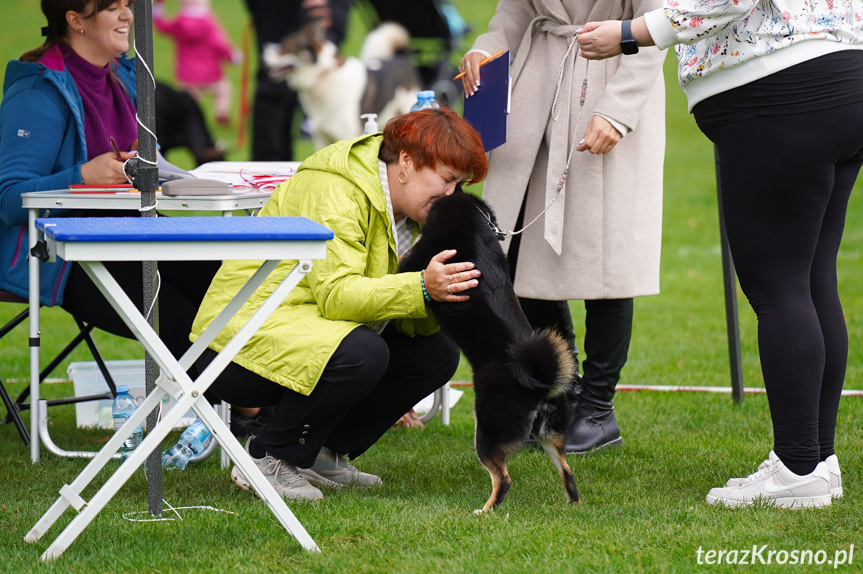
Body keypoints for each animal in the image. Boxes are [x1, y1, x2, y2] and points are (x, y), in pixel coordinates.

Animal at [264, 20, 424, 148]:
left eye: (286, 46)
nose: (263, 51)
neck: (325, 77)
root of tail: (401, 57)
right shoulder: (321, 137)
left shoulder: (347, 134)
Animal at [400, 191, 580, 516]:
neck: (472, 219)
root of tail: (540, 387)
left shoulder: (417, 262)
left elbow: (404, 264)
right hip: (549, 435)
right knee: (567, 470)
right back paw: (573, 503)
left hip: (488, 430)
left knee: (503, 478)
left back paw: (485, 511)